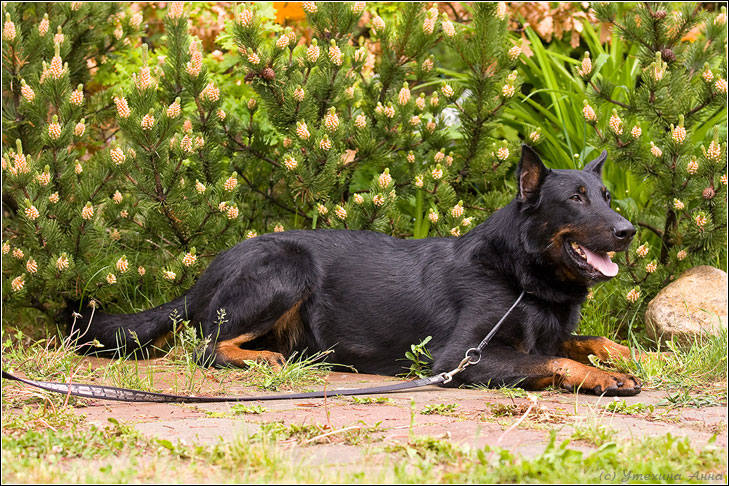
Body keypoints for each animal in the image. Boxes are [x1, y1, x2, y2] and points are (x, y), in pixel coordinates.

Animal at [72, 146, 644, 396]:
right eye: (576, 199)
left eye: (606, 196)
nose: (628, 230)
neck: (522, 276)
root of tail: (207, 274)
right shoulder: (460, 359)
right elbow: (556, 361)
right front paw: (607, 377)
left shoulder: (546, 333)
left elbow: (589, 342)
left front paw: (627, 355)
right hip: (289, 266)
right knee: (206, 346)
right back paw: (264, 362)